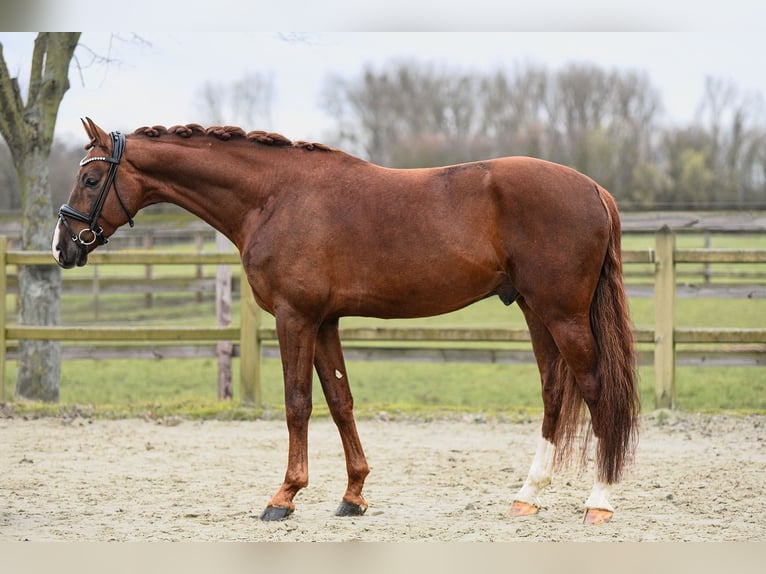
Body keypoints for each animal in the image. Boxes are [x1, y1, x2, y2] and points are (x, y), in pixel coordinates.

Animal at [52, 118, 639, 526]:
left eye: (91, 177)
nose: (62, 247)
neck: (273, 197)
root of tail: (593, 189)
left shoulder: (295, 318)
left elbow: (297, 404)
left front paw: (284, 497)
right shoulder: (326, 321)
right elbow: (340, 402)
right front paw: (353, 495)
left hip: (562, 315)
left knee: (595, 390)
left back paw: (600, 500)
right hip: (535, 312)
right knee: (553, 393)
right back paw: (527, 497)